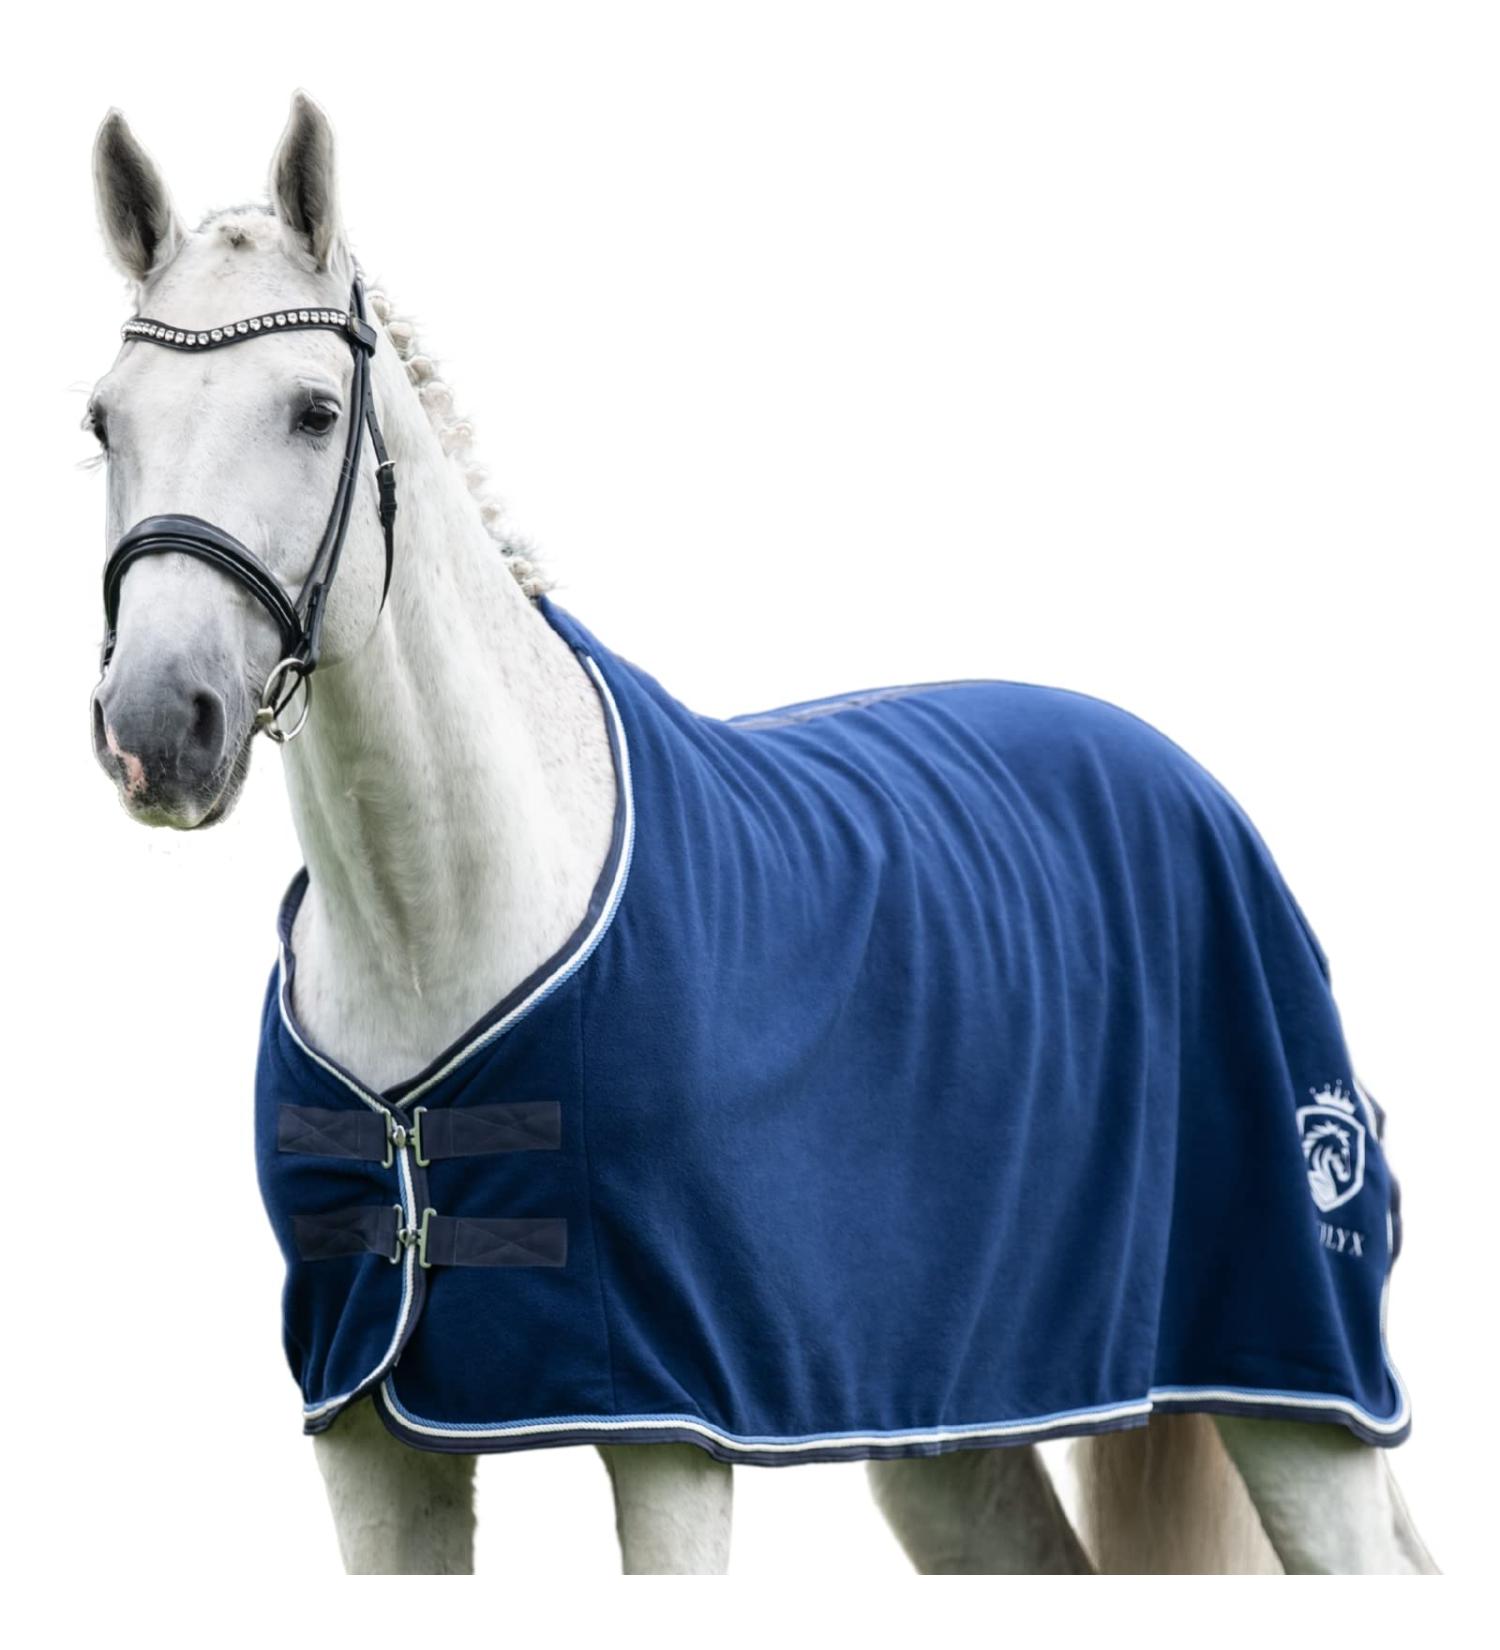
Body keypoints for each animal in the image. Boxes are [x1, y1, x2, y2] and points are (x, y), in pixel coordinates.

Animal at [85, 93, 1437, 1575]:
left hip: (1296, 1387)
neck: (445, 918)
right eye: (103, 422)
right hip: (953, 1433)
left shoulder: (670, 1426)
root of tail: (1198, 787)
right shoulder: (371, 1440)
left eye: (315, 411)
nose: (157, 725)